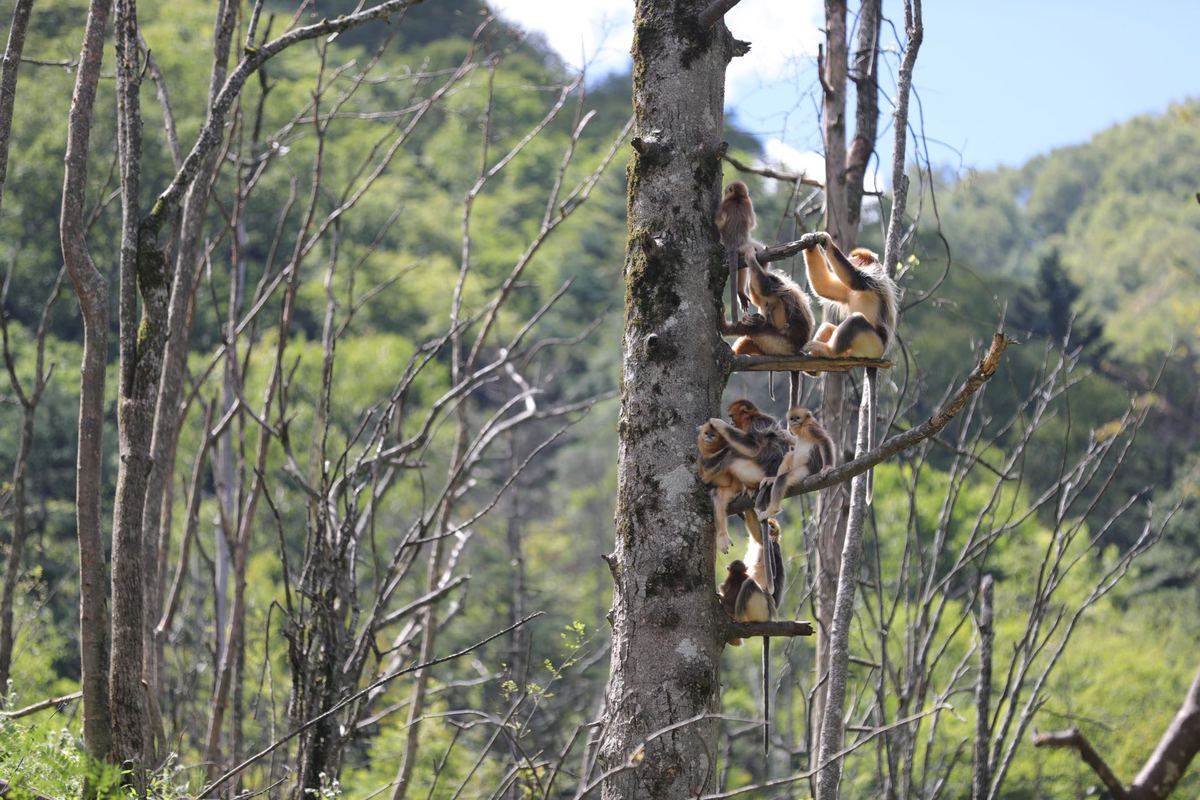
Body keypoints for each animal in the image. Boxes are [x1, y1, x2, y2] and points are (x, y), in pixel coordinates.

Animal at [696, 415, 791, 554]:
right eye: (706, 433)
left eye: (713, 434)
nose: (708, 436)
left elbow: (751, 446)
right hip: (730, 490)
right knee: (718, 497)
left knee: (734, 454)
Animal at [715, 181, 757, 322]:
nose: (724, 191)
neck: (736, 198)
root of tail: (733, 244)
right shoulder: (748, 202)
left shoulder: (724, 205)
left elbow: (718, 222)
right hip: (744, 246)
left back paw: (740, 292)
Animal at [724, 251, 815, 406]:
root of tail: (797, 349)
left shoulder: (779, 293)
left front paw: (750, 254)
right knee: (750, 338)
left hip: (782, 346)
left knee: (757, 330)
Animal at [803, 234, 898, 502]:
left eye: (855, 258)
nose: (852, 257)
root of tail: (876, 358)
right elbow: (825, 287)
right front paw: (810, 241)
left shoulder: (872, 278)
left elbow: (854, 278)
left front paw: (825, 240)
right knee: (830, 326)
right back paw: (817, 360)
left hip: (871, 344)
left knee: (854, 321)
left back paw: (828, 351)